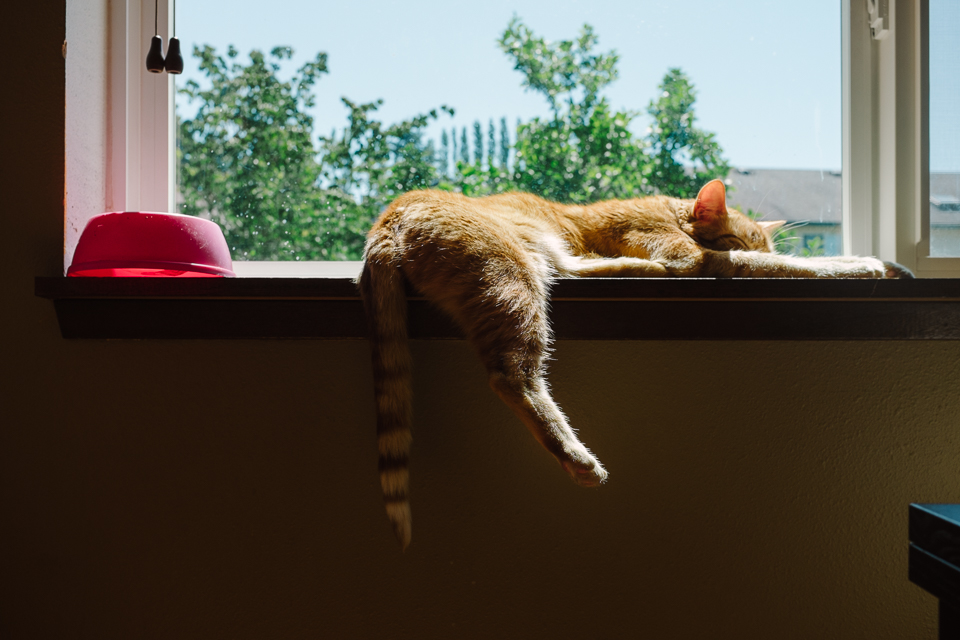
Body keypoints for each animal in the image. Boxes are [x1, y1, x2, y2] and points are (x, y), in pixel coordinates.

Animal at [356, 178, 912, 548]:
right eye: (737, 238)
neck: (666, 210)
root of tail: (389, 217)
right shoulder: (699, 261)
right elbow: (785, 266)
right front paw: (864, 264)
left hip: (535, 261)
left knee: (575, 272)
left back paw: (635, 269)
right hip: (509, 277)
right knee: (512, 375)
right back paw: (575, 457)